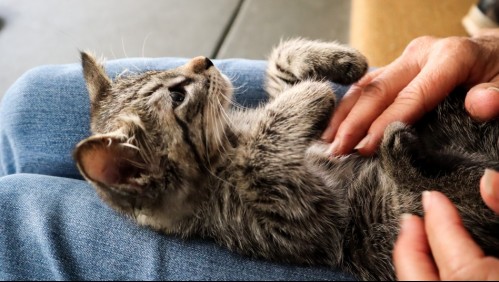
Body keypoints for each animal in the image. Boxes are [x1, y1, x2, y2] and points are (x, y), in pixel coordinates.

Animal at [74, 38, 499, 280]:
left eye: (164, 68)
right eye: (176, 95)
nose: (205, 60)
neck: (231, 138)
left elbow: (278, 68)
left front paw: (339, 62)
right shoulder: (299, 215)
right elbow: (262, 154)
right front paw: (312, 94)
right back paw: (400, 150)